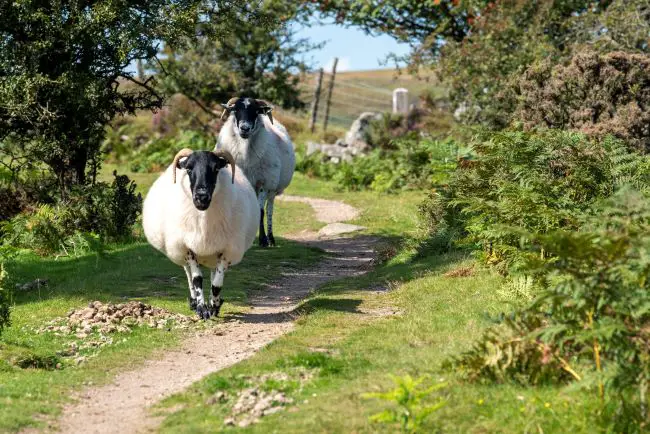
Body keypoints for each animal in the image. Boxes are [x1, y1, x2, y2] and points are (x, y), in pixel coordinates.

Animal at [142, 148, 258, 318]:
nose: (201, 197)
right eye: (189, 169)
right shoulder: (187, 248)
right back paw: (193, 301)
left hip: (213, 253)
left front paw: (214, 306)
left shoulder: (226, 251)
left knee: (213, 273)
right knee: (188, 274)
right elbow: (197, 279)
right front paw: (201, 308)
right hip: (180, 250)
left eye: (216, 168)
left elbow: (217, 283)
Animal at [215, 97, 294, 248]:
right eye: (235, 110)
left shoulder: (263, 183)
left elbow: (261, 212)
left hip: (272, 188)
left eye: (256, 111)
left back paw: (271, 239)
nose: (244, 128)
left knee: (269, 210)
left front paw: (263, 240)